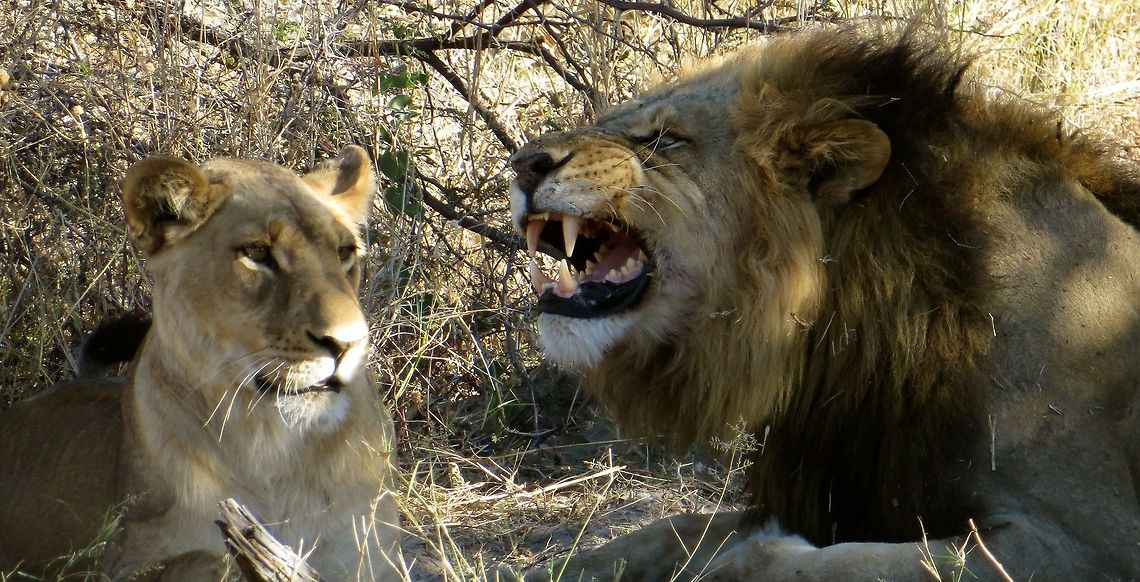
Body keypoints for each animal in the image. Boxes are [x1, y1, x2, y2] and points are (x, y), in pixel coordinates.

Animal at [0, 147, 403, 580]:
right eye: (257, 253)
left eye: (345, 253)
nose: (348, 342)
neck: (277, 455)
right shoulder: (129, 558)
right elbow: (207, 558)